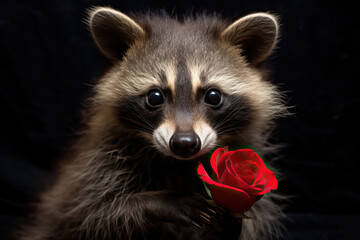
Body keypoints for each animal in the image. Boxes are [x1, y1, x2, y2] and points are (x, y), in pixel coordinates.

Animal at [15, 7, 288, 240]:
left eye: (213, 96)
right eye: (155, 97)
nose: (184, 143)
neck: (178, 163)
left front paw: (230, 223)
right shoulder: (97, 164)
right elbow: (93, 213)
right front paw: (162, 201)